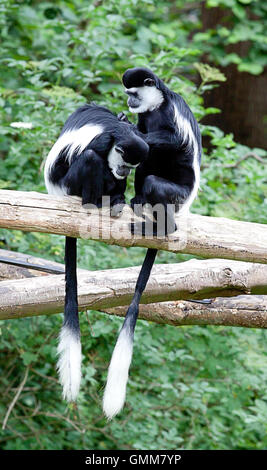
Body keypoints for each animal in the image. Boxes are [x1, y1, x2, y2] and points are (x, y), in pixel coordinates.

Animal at [44, 103, 149, 404]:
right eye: (126, 163)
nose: (125, 173)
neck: (118, 133)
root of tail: (56, 192)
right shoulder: (103, 144)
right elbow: (93, 154)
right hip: (71, 185)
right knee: (90, 160)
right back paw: (95, 201)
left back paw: (116, 200)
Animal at [103, 67, 202, 418]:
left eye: (133, 93)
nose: (129, 103)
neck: (157, 106)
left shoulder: (171, 114)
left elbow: (171, 139)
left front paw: (129, 127)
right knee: (145, 166)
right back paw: (137, 202)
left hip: (176, 195)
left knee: (157, 177)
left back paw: (159, 223)